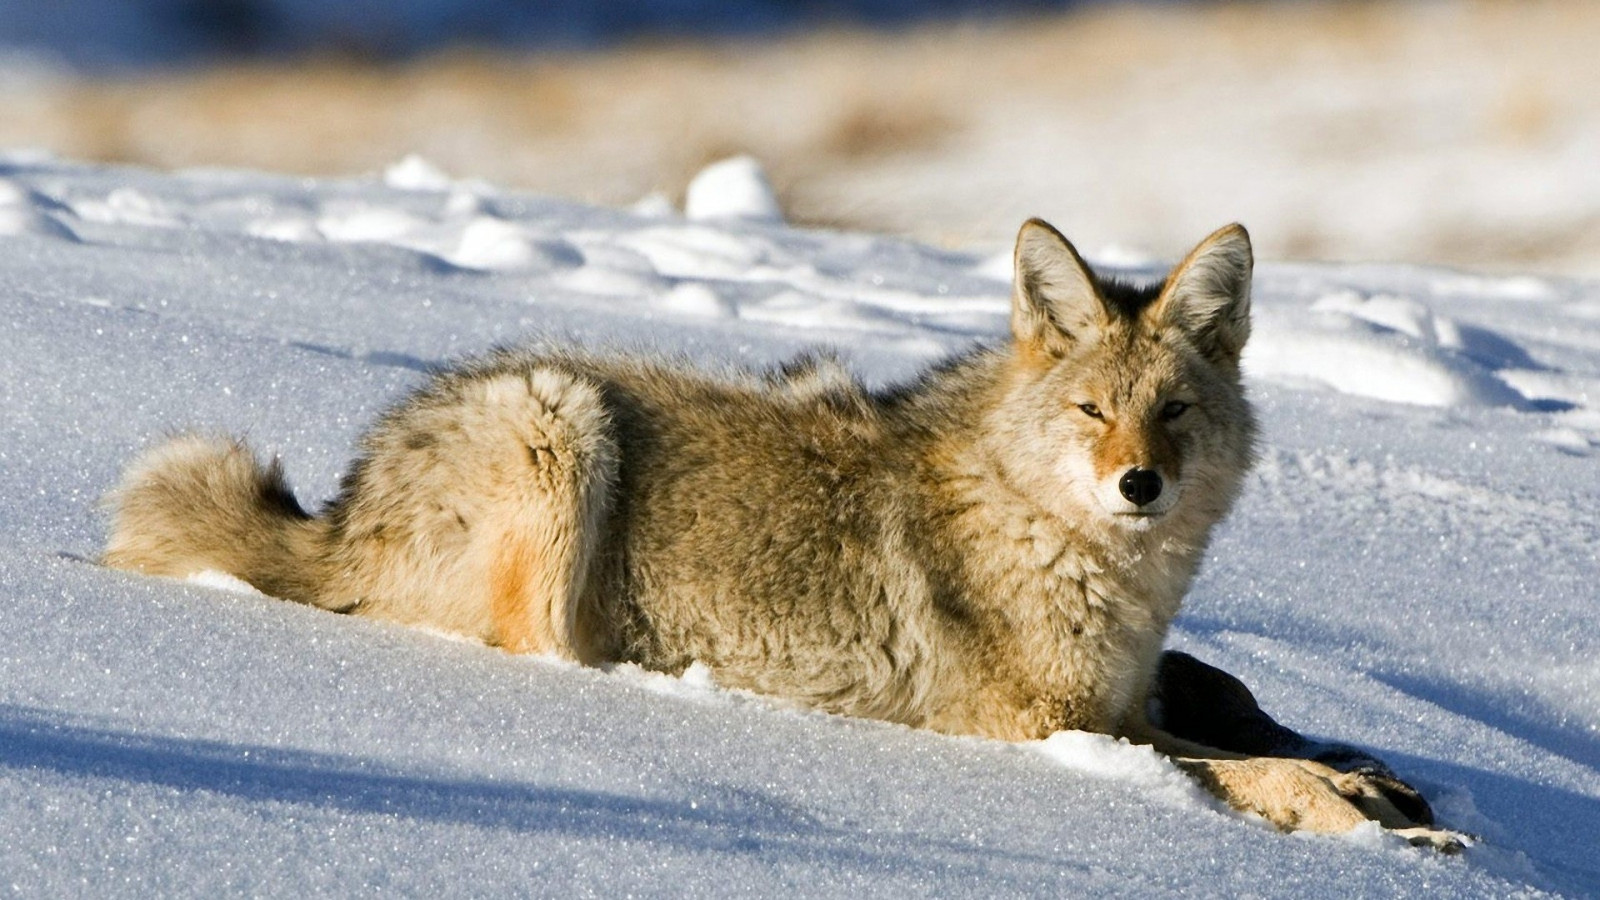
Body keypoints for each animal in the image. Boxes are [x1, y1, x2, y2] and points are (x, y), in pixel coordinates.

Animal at [103, 219, 1463, 850]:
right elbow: (1245, 774)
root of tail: (348, 497)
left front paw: (1381, 786)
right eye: (1092, 410)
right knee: (535, 649)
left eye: (1173, 412)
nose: (1139, 486)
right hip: (560, 420)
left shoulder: (1126, 701)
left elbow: (1257, 735)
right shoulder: (1043, 730)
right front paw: (1371, 826)